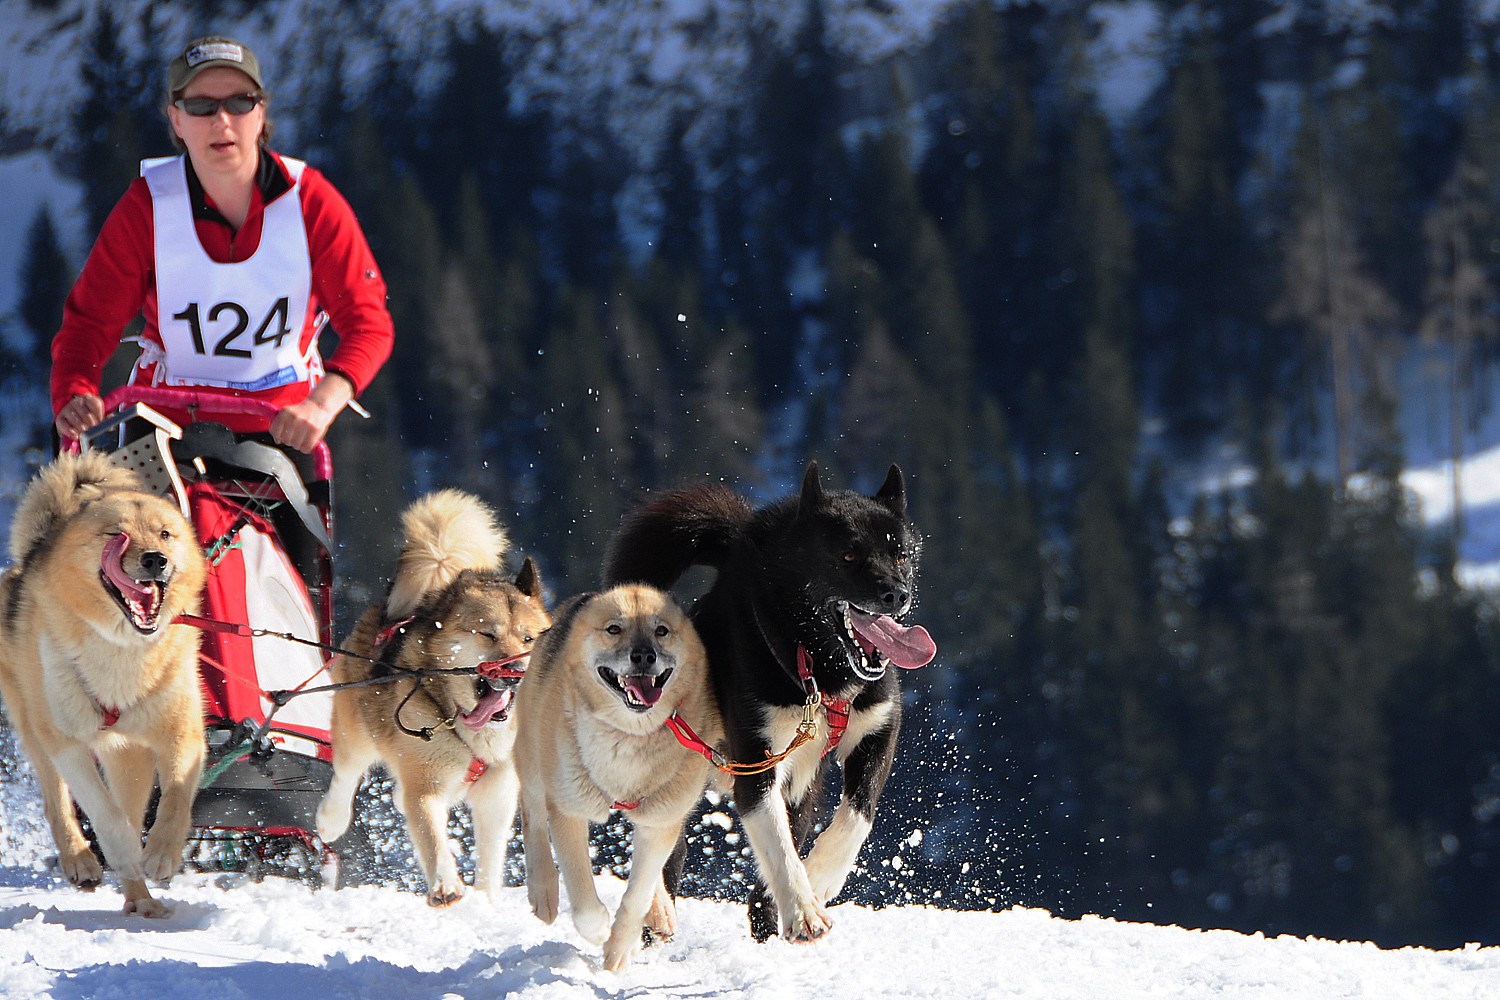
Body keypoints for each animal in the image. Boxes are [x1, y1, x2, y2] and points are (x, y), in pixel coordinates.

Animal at [0, 452, 208, 917]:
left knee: (128, 802)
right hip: (36, 731)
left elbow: (175, 798)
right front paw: (126, 851)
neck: (123, 652)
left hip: (129, 758)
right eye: (117, 534)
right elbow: (106, 818)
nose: (155, 559)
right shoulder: (67, 744)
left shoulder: (181, 733)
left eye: (165, 533)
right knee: (57, 802)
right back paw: (81, 860)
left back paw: (141, 900)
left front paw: (161, 853)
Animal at [316, 491, 552, 905]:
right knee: (346, 775)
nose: (516, 671)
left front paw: (487, 901)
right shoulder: (425, 786)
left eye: (528, 638)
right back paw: (330, 818)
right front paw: (445, 883)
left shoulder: (499, 796)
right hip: (355, 732)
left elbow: (490, 859)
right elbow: (432, 836)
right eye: (488, 635)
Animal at [513, 581, 723, 971]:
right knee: (531, 814)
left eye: (661, 630)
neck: (629, 737)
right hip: (533, 755)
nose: (644, 656)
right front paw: (598, 931)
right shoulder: (569, 811)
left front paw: (621, 946)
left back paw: (660, 911)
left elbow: (639, 891)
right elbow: (583, 900)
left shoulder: (660, 821)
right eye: (614, 629)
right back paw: (544, 890)